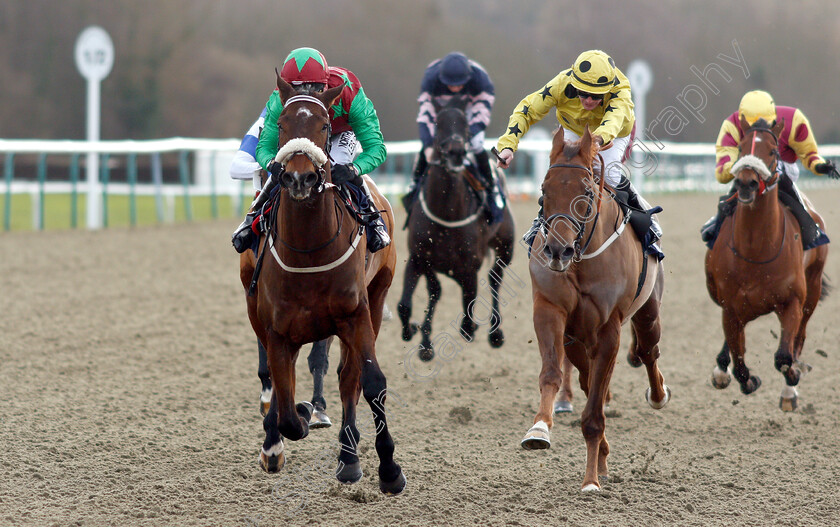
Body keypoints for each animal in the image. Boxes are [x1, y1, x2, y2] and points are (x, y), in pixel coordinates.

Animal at [240, 74, 406, 496]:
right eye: (281, 124)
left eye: (325, 125)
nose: (299, 177)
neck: (309, 250)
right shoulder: (277, 330)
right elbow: (285, 408)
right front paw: (286, 428)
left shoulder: (356, 314)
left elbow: (371, 382)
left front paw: (389, 469)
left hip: (376, 298)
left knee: (349, 378)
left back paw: (349, 458)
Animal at [396, 97, 520, 360]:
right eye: (438, 123)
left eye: (465, 125)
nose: (455, 152)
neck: (446, 214)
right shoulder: (419, 257)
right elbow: (409, 302)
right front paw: (417, 335)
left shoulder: (470, 265)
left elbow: (468, 304)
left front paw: (469, 328)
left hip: (505, 247)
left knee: (494, 279)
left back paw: (495, 332)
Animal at [520, 126, 672, 492]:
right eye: (543, 191)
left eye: (587, 192)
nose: (557, 250)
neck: (581, 260)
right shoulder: (550, 311)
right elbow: (552, 373)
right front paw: (539, 428)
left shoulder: (608, 329)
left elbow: (593, 413)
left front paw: (590, 480)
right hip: (576, 338)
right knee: (588, 379)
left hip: (648, 311)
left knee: (648, 350)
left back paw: (658, 395)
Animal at [704, 115, 832, 412]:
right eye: (740, 149)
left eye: (773, 152)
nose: (746, 184)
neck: (756, 250)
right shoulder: (731, 307)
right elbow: (739, 361)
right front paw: (746, 379)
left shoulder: (793, 302)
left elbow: (784, 356)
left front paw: (793, 378)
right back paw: (722, 370)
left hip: (813, 289)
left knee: (799, 337)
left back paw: (790, 387)